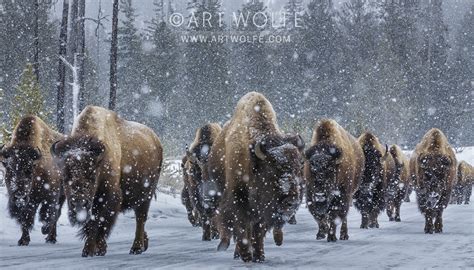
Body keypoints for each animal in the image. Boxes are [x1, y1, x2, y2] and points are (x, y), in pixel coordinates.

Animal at [0, 115, 65, 246]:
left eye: (29, 170)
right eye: (9, 169)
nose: (19, 196)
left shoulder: (50, 195)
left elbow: (48, 214)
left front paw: (44, 230)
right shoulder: (28, 202)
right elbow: (25, 219)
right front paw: (23, 240)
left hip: (62, 196)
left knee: (56, 214)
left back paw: (51, 238)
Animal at [51, 105, 163, 255]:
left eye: (92, 175)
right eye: (65, 176)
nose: (79, 203)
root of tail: (156, 141)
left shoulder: (107, 196)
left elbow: (99, 222)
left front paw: (90, 250)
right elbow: (94, 223)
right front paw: (96, 249)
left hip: (146, 195)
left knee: (140, 218)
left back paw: (136, 248)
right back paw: (144, 244)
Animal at [207, 92, 304, 262]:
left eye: (299, 168)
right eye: (272, 169)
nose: (291, 201)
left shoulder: (262, 212)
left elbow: (258, 231)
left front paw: (259, 256)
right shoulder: (237, 202)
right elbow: (241, 228)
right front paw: (247, 255)